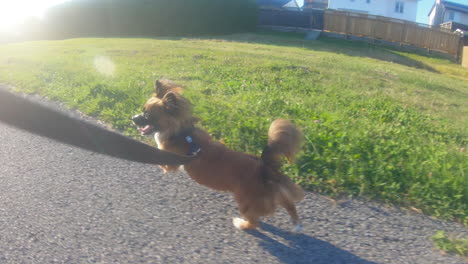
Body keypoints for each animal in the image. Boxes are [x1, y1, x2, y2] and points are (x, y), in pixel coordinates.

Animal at [133, 80, 306, 231]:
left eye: (147, 114)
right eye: (142, 110)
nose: (133, 119)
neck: (181, 132)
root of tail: (265, 167)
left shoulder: (170, 161)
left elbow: (158, 155)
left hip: (246, 201)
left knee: (254, 221)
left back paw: (241, 224)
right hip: (273, 192)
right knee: (288, 202)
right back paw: (296, 223)